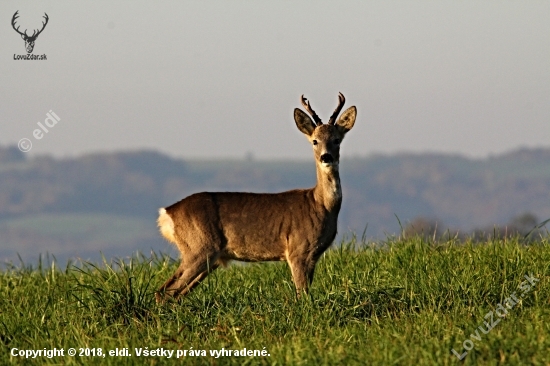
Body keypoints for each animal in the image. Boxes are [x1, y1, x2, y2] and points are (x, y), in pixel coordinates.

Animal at [157, 93, 360, 302]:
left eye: (337, 140)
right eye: (315, 141)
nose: (326, 157)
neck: (322, 205)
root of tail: (167, 213)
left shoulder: (312, 256)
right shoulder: (298, 249)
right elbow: (302, 295)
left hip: (208, 257)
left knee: (174, 293)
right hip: (199, 248)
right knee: (165, 291)